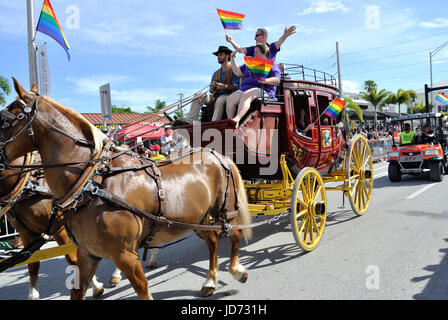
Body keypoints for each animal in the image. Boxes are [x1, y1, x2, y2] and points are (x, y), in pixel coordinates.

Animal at [0, 78, 250, 300]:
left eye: (3, 120)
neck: (92, 185)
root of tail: (217, 154)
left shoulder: (124, 254)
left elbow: (141, 289)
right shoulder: (86, 253)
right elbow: (71, 285)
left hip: (225, 210)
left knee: (235, 234)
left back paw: (237, 270)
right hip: (195, 219)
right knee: (212, 241)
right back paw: (209, 282)